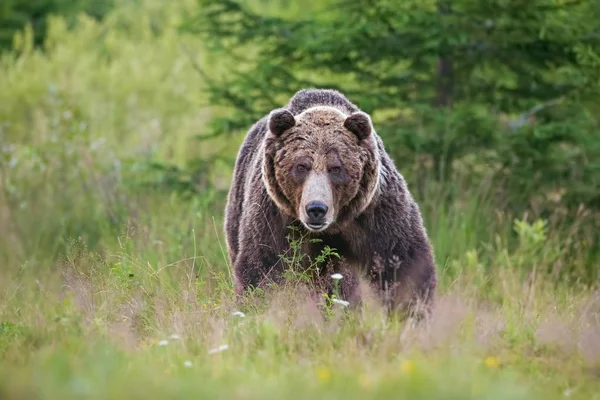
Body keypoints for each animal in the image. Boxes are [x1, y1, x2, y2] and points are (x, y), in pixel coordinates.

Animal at [224, 89, 436, 318]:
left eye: (336, 168)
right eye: (301, 166)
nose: (316, 209)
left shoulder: (376, 212)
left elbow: (403, 263)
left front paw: (412, 314)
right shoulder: (274, 216)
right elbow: (264, 266)